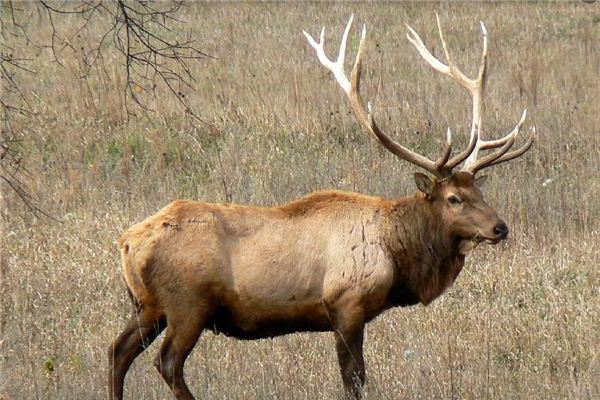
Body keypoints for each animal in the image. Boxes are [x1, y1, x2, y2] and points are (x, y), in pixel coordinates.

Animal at [108, 14, 536, 400]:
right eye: (453, 199)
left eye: (479, 191)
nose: (500, 227)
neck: (397, 254)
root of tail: (127, 242)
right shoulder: (347, 305)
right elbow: (354, 380)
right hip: (187, 303)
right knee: (167, 362)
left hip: (148, 305)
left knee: (117, 351)